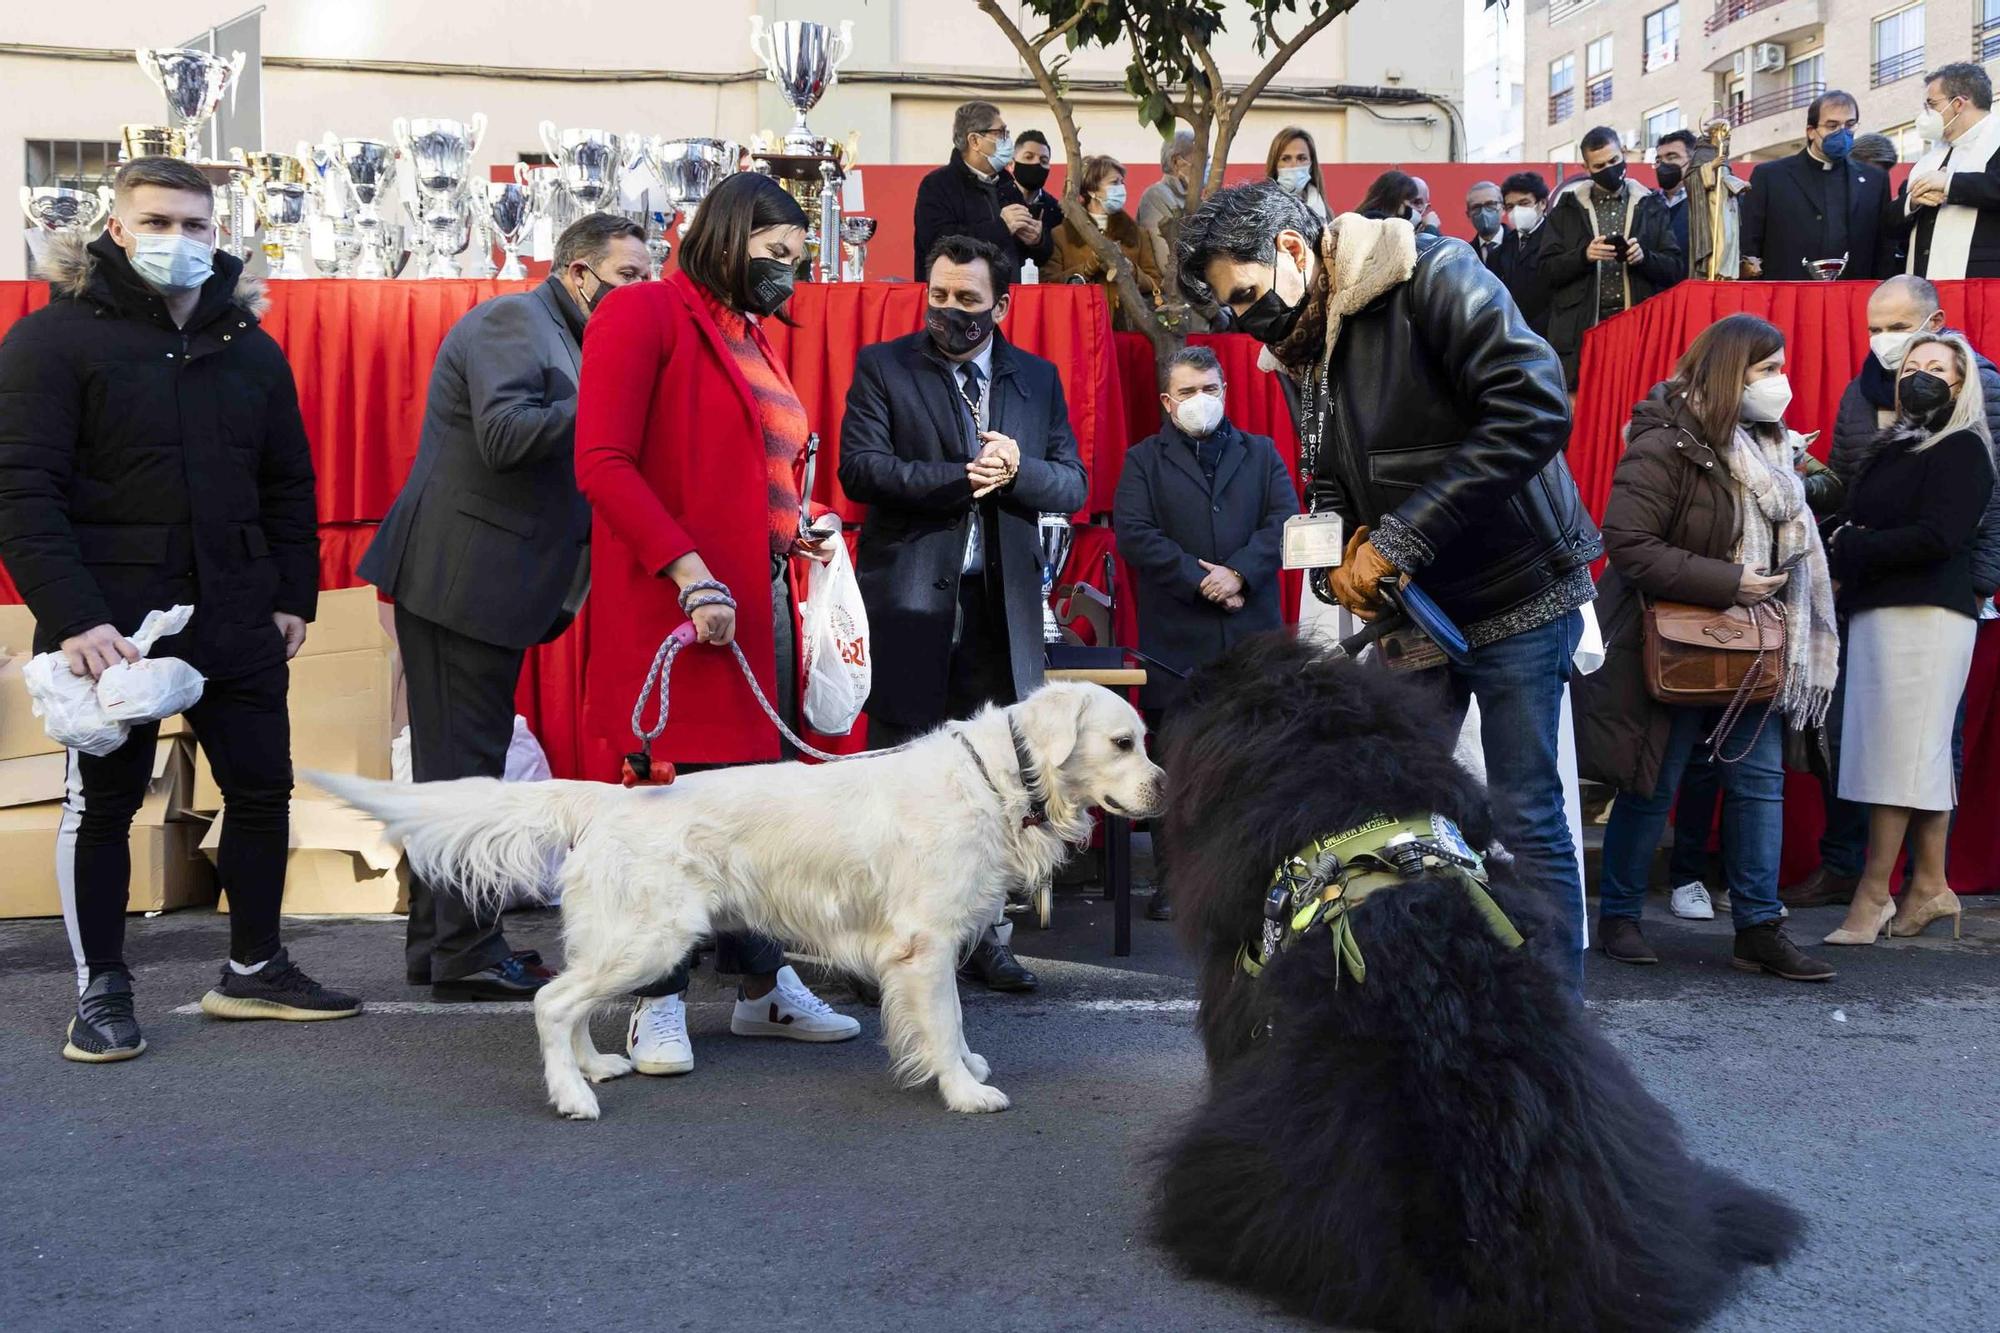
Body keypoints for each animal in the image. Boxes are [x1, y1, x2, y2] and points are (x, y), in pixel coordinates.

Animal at [318, 680, 1168, 1112]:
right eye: (1124, 741)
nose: (1167, 786)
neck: (998, 776)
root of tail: (608, 796)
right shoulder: (924, 943)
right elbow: (947, 1019)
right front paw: (965, 1092)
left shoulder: (934, 942)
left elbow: (951, 1023)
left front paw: (963, 1068)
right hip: (651, 936)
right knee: (551, 1002)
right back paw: (572, 1096)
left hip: (619, 937)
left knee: (573, 1004)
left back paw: (595, 1069)